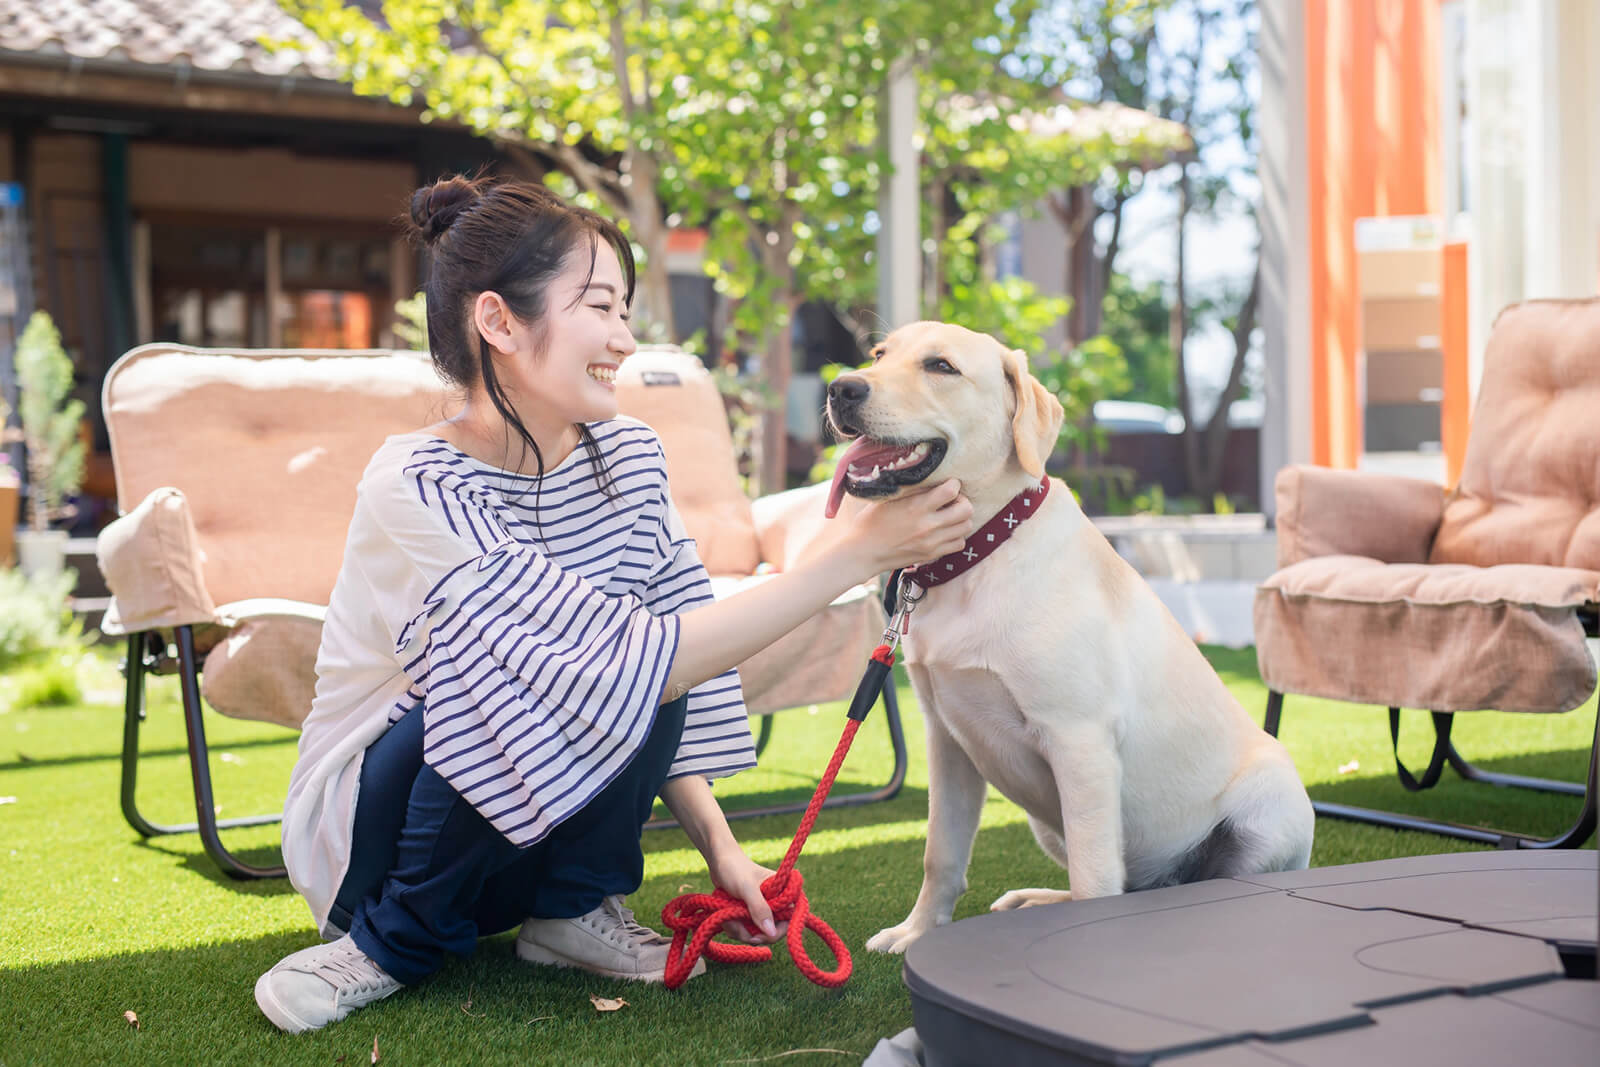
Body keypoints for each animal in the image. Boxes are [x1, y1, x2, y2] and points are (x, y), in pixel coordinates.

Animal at [825, 321, 1312, 953]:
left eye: (940, 367)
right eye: (879, 355)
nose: (841, 388)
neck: (979, 553)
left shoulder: (1079, 743)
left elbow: (1093, 876)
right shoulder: (947, 741)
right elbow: (941, 854)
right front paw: (918, 931)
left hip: (1268, 810)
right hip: (1044, 820)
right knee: (1127, 885)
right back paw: (1034, 901)